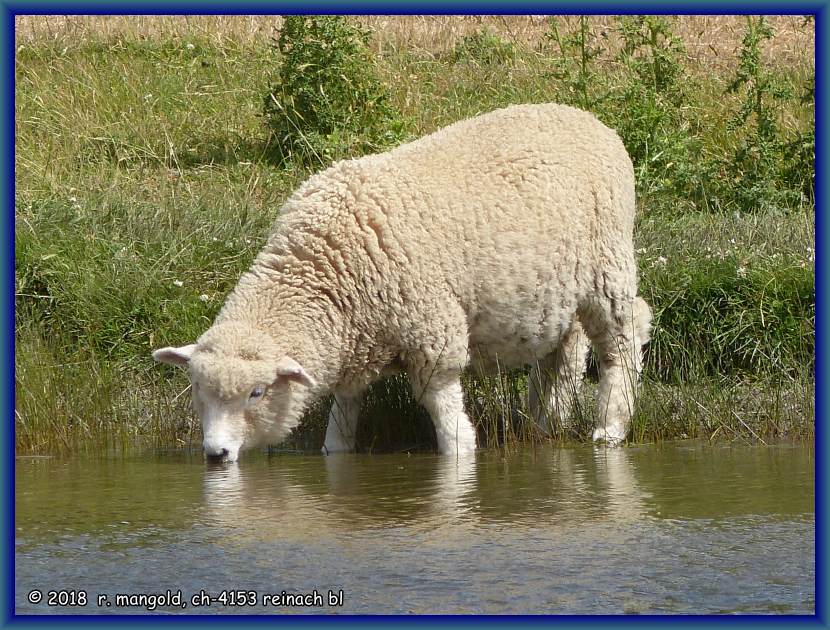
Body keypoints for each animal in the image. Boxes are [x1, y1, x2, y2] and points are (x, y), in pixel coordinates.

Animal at [153, 103, 652, 464]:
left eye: (256, 393)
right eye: (197, 390)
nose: (216, 455)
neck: (323, 272)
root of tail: (585, 117)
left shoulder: (434, 338)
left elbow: (450, 427)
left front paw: (460, 457)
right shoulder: (352, 353)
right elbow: (341, 426)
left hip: (608, 266)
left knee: (624, 340)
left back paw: (610, 426)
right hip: (558, 292)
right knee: (565, 353)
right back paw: (547, 423)